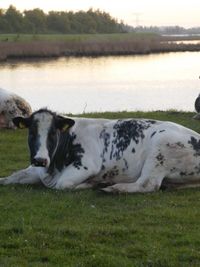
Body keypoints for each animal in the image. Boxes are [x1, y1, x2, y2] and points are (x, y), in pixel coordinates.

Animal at [0, 108, 200, 194]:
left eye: (52, 133)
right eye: (31, 132)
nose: (40, 160)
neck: (52, 168)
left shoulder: (87, 165)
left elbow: (64, 184)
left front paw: (90, 184)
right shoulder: (36, 169)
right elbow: (11, 177)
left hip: (161, 149)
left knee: (147, 184)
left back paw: (113, 188)